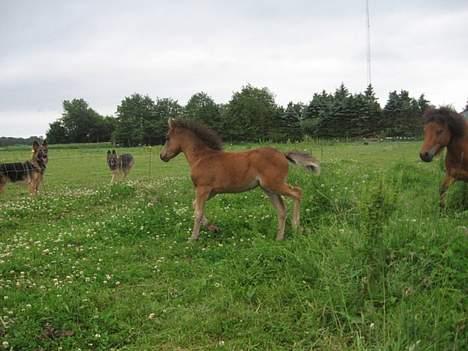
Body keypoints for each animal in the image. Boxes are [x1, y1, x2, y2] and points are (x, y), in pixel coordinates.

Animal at [159, 119, 320, 241]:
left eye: (167, 138)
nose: (162, 156)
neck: (201, 157)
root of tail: (282, 154)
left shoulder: (202, 188)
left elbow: (197, 212)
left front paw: (192, 239)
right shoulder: (212, 191)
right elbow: (195, 206)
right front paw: (214, 228)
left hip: (275, 184)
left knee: (297, 192)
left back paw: (296, 227)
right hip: (268, 188)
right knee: (281, 209)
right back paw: (279, 238)